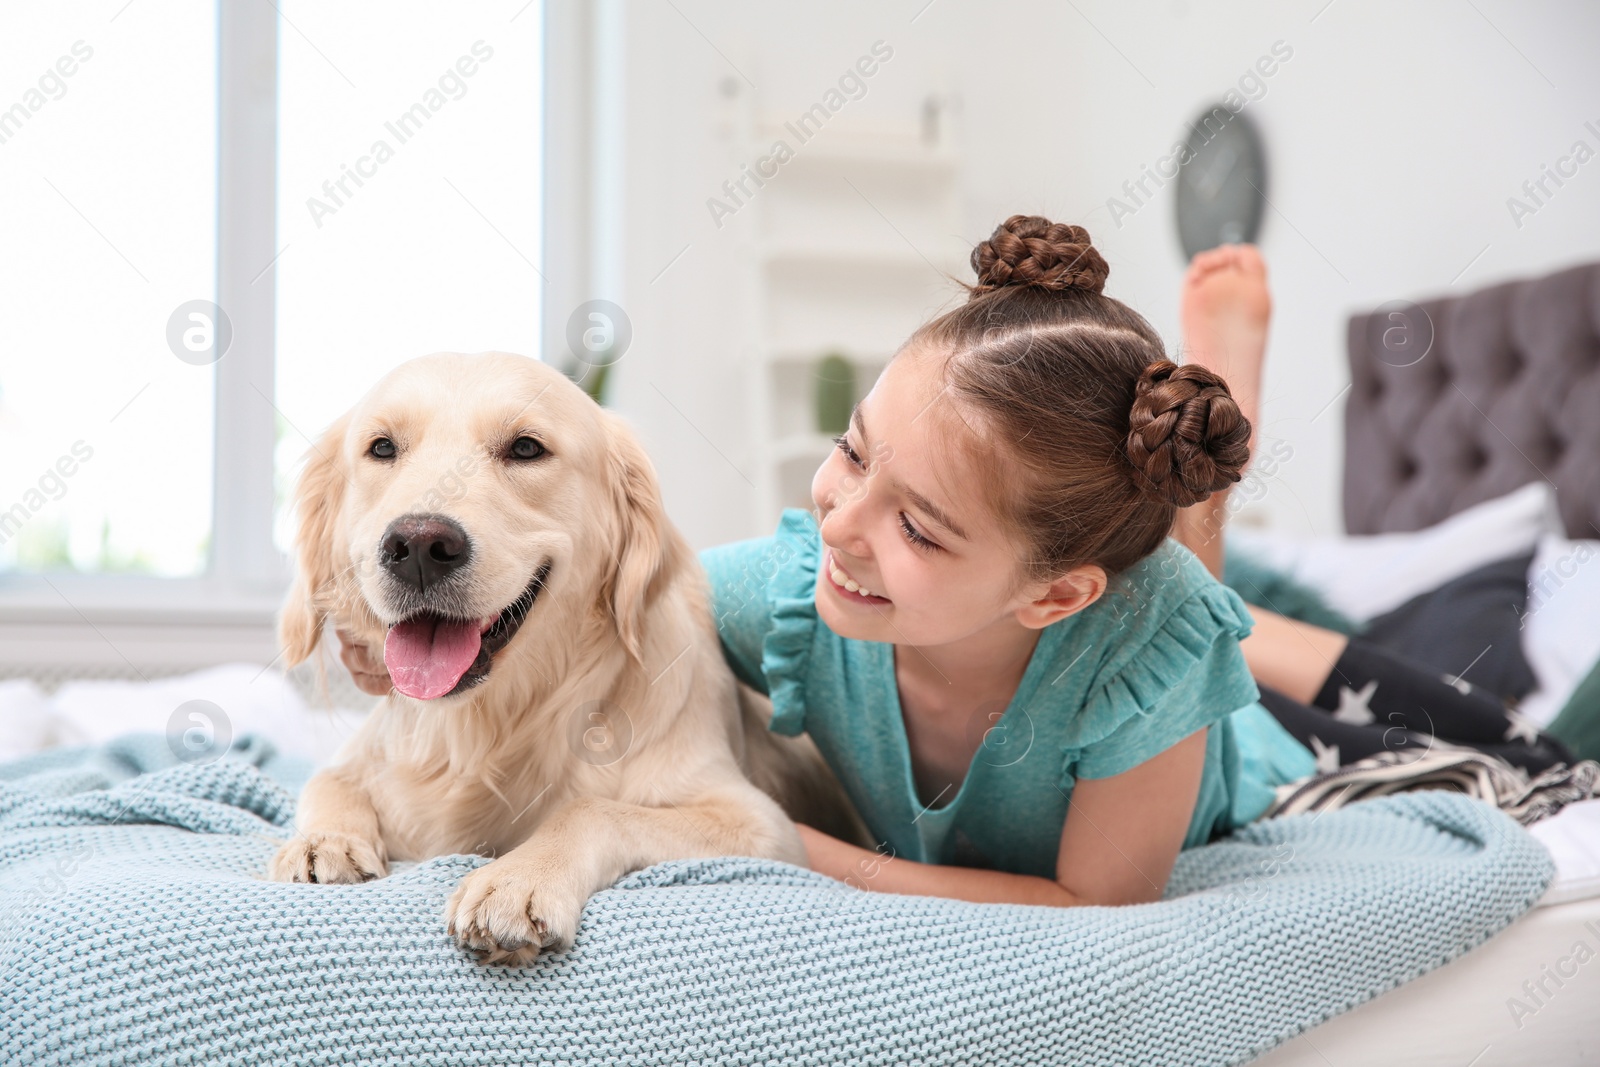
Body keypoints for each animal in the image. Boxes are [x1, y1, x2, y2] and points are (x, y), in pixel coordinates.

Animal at [265, 351, 864, 966]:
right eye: (382, 448)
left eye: (527, 448)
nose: (418, 547)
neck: (493, 720)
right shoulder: (368, 757)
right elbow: (327, 781)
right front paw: (323, 840)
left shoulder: (763, 827)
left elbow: (590, 808)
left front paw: (519, 877)